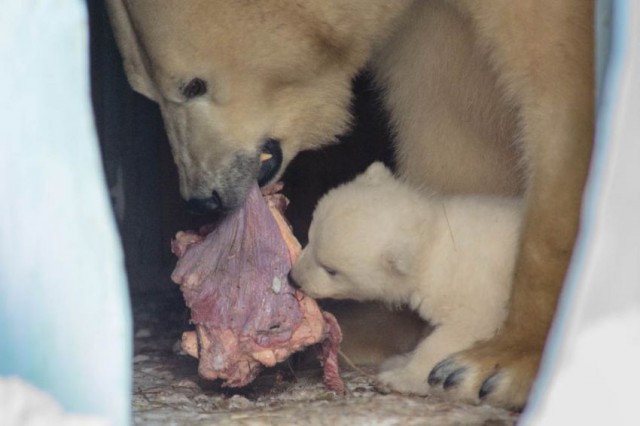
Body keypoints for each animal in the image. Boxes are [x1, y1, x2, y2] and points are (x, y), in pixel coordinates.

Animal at [109, 0, 596, 408]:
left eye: (194, 84)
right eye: (144, 91)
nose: (202, 198)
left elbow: (559, 102)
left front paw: (496, 364)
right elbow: (447, 116)